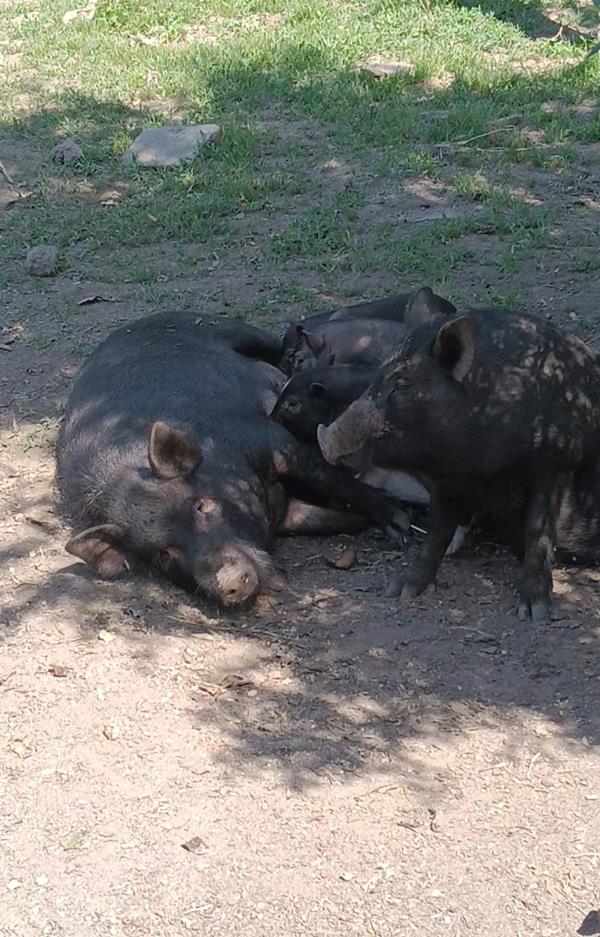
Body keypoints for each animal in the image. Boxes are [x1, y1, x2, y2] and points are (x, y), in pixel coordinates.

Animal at [57, 311, 408, 607]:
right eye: (164, 555)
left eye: (202, 506)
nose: (229, 581)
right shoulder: (282, 511)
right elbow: (323, 520)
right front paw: (358, 520)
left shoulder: (267, 438)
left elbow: (333, 480)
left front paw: (399, 525)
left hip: (233, 329)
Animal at [317, 303, 600, 622]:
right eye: (376, 377)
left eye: (401, 384)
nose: (325, 439)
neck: (482, 465)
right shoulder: (447, 480)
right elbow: (436, 534)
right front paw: (400, 592)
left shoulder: (557, 461)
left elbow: (537, 531)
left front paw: (533, 613)